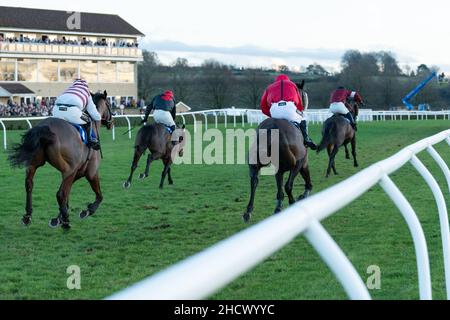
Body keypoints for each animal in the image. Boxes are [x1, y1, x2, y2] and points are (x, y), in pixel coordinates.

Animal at [8, 91, 113, 229]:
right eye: (109, 104)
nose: (111, 122)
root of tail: (44, 128)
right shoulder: (90, 172)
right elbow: (99, 196)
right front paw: (86, 211)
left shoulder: (76, 174)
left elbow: (67, 195)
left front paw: (58, 217)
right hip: (68, 169)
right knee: (60, 193)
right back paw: (66, 222)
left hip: (33, 164)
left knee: (29, 185)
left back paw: (27, 216)